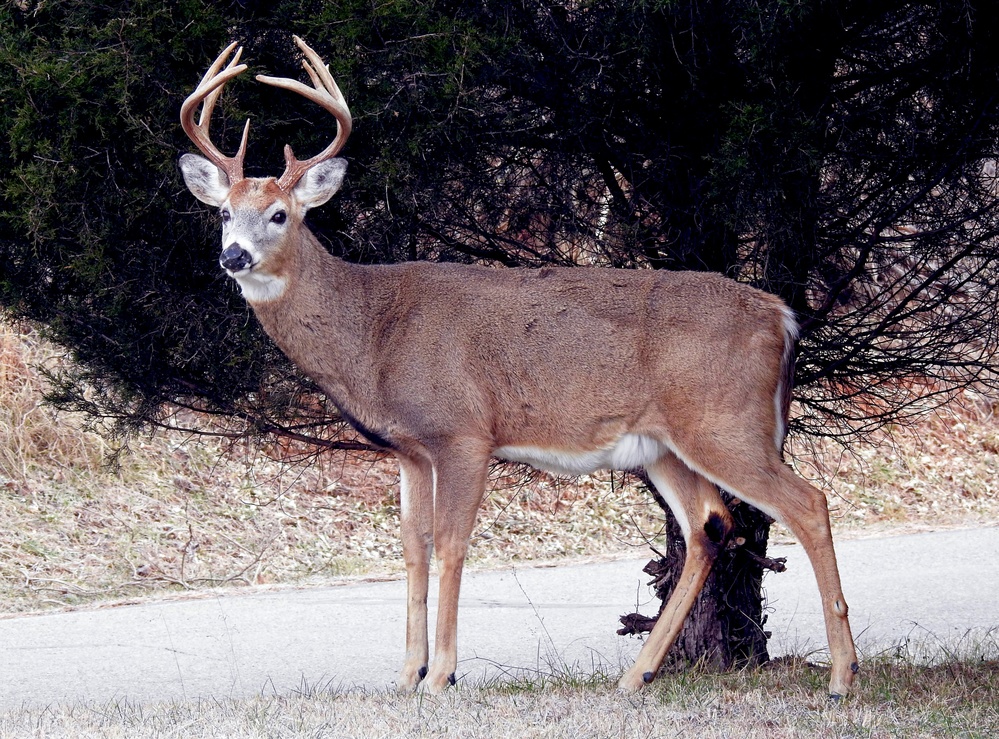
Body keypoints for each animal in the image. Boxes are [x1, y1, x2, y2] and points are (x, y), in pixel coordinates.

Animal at [180, 39, 860, 700]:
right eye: (223, 213)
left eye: (279, 215)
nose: (233, 256)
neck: (374, 334)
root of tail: (781, 315)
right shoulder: (409, 448)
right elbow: (412, 549)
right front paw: (404, 677)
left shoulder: (463, 431)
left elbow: (451, 545)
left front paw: (441, 676)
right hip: (667, 445)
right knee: (709, 527)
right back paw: (635, 676)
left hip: (725, 422)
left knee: (807, 503)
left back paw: (841, 678)